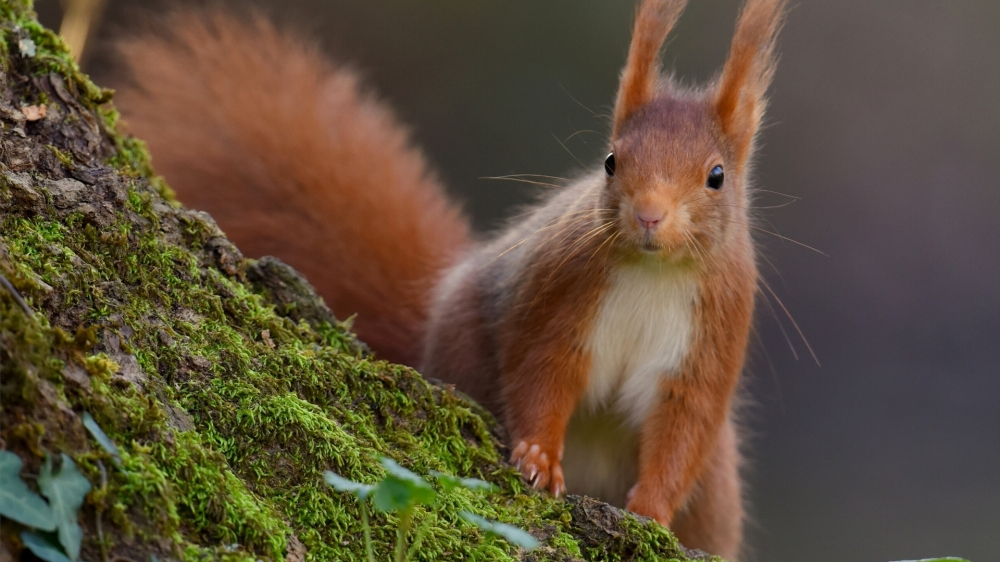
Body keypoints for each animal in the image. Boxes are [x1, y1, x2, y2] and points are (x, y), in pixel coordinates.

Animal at [113, 0, 784, 552]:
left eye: (717, 176)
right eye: (611, 161)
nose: (648, 215)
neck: (653, 271)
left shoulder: (710, 342)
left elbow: (682, 432)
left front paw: (650, 512)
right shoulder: (561, 295)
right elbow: (542, 374)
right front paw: (538, 457)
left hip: (718, 489)